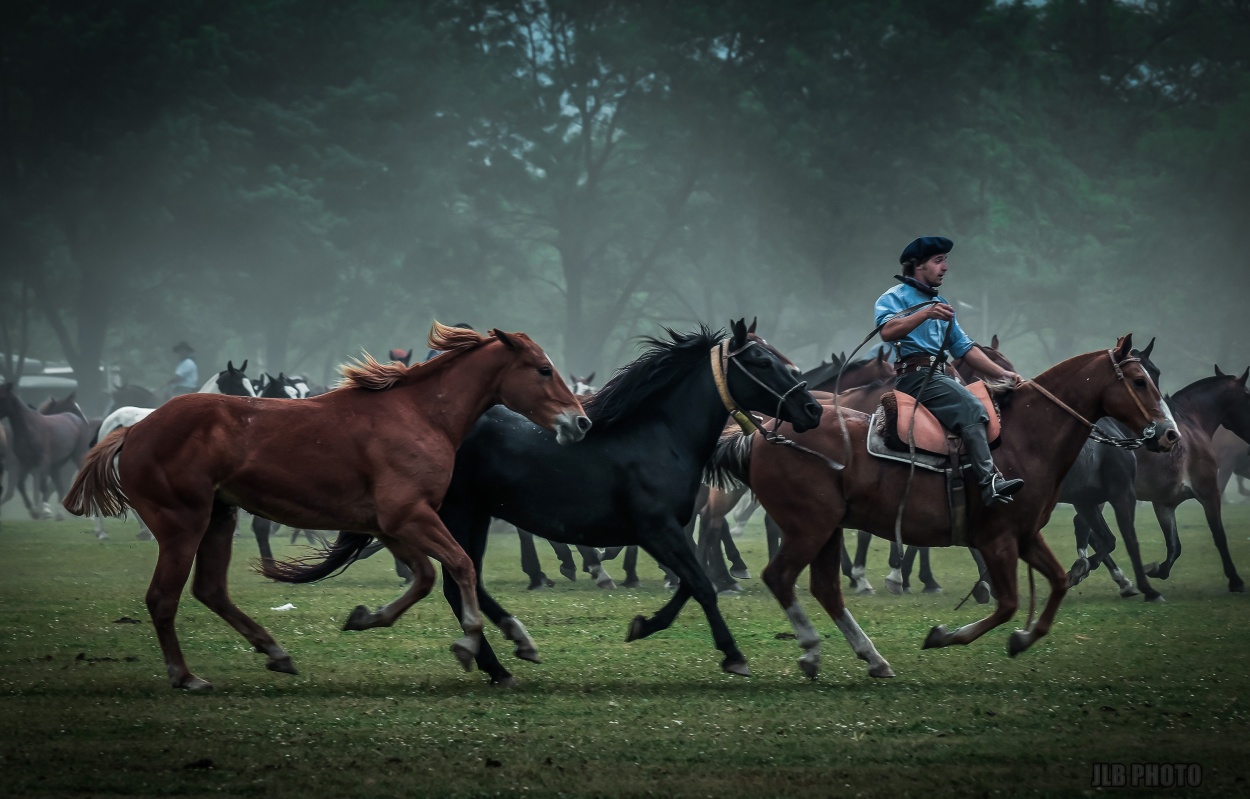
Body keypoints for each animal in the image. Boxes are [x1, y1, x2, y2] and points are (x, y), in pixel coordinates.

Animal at [65, 322, 592, 690]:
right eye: (543, 370)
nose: (581, 422)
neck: (419, 414)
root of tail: (134, 429)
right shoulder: (409, 515)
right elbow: (459, 565)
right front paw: (468, 642)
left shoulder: (389, 525)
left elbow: (423, 578)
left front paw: (366, 617)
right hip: (182, 525)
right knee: (163, 597)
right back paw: (186, 675)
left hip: (219, 518)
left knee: (210, 590)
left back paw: (274, 651)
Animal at [268, 322, 825, 685]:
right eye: (760, 361)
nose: (812, 408)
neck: (658, 435)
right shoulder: (656, 530)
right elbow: (702, 585)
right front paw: (732, 655)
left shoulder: (668, 531)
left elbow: (692, 584)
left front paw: (644, 624)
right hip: (457, 513)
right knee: (457, 581)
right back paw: (499, 660)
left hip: (473, 515)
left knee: (465, 581)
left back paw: (513, 647)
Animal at [710, 335, 1175, 680]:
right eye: (1138, 380)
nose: (1169, 434)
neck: (1026, 438)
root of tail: (759, 435)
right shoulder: (997, 540)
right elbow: (1008, 603)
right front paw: (944, 634)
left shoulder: (1025, 536)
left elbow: (1058, 583)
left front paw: (1023, 638)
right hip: (810, 527)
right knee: (780, 575)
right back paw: (809, 648)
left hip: (826, 528)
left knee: (823, 588)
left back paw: (871, 657)